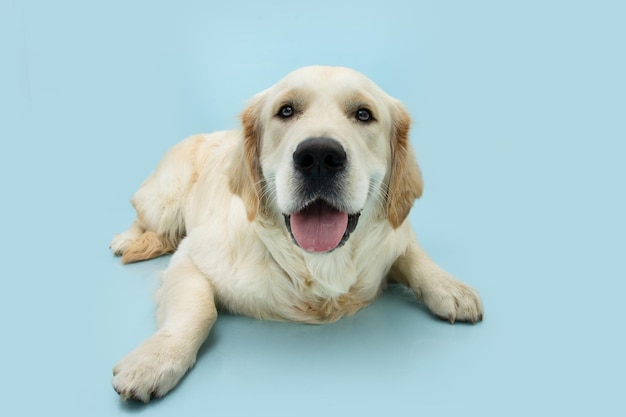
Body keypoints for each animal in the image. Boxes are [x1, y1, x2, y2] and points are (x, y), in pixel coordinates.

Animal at [109, 66, 480, 404]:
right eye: (286, 110)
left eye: (364, 114)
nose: (319, 156)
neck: (316, 264)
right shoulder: (191, 256)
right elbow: (199, 308)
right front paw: (155, 359)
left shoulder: (396, 235)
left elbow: (413, 254)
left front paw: (451, 288)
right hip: (164, 202)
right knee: (143, 214)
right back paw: (126, 239)